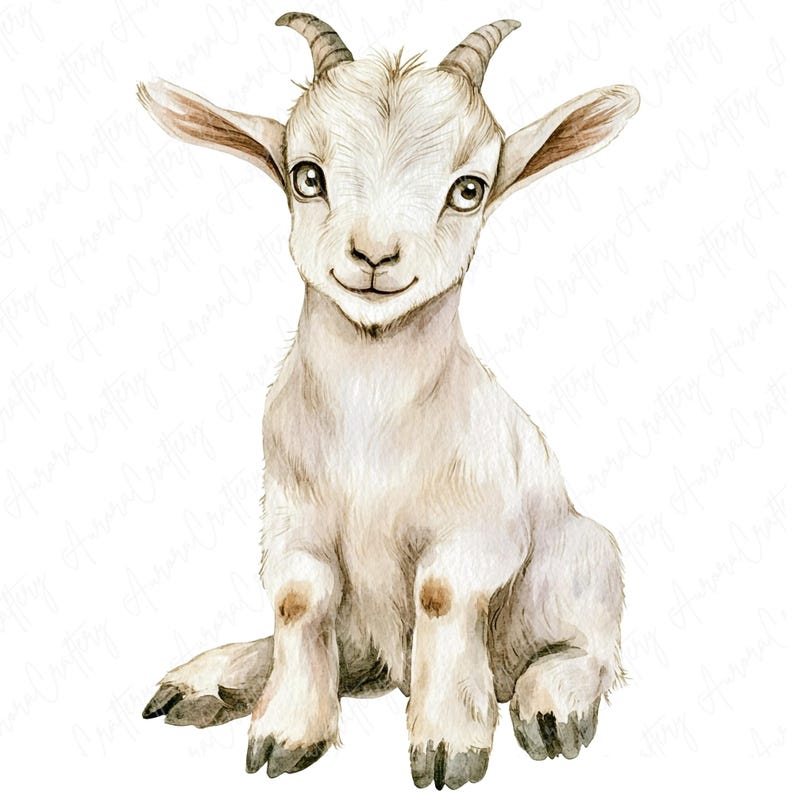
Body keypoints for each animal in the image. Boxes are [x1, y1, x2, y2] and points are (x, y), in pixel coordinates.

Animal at [138, 13, 639, 789]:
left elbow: (441, 595)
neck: (371, 417)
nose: (374, 256)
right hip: (370, 628)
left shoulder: (477, 530)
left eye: (469, 189)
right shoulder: (293, 520)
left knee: (588, 652)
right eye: (306, 175)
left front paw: (449, 745)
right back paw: (210, 680)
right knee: (346, 653)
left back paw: (552, 704)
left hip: (588, 559)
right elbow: (297, 600)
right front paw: (286, 732)